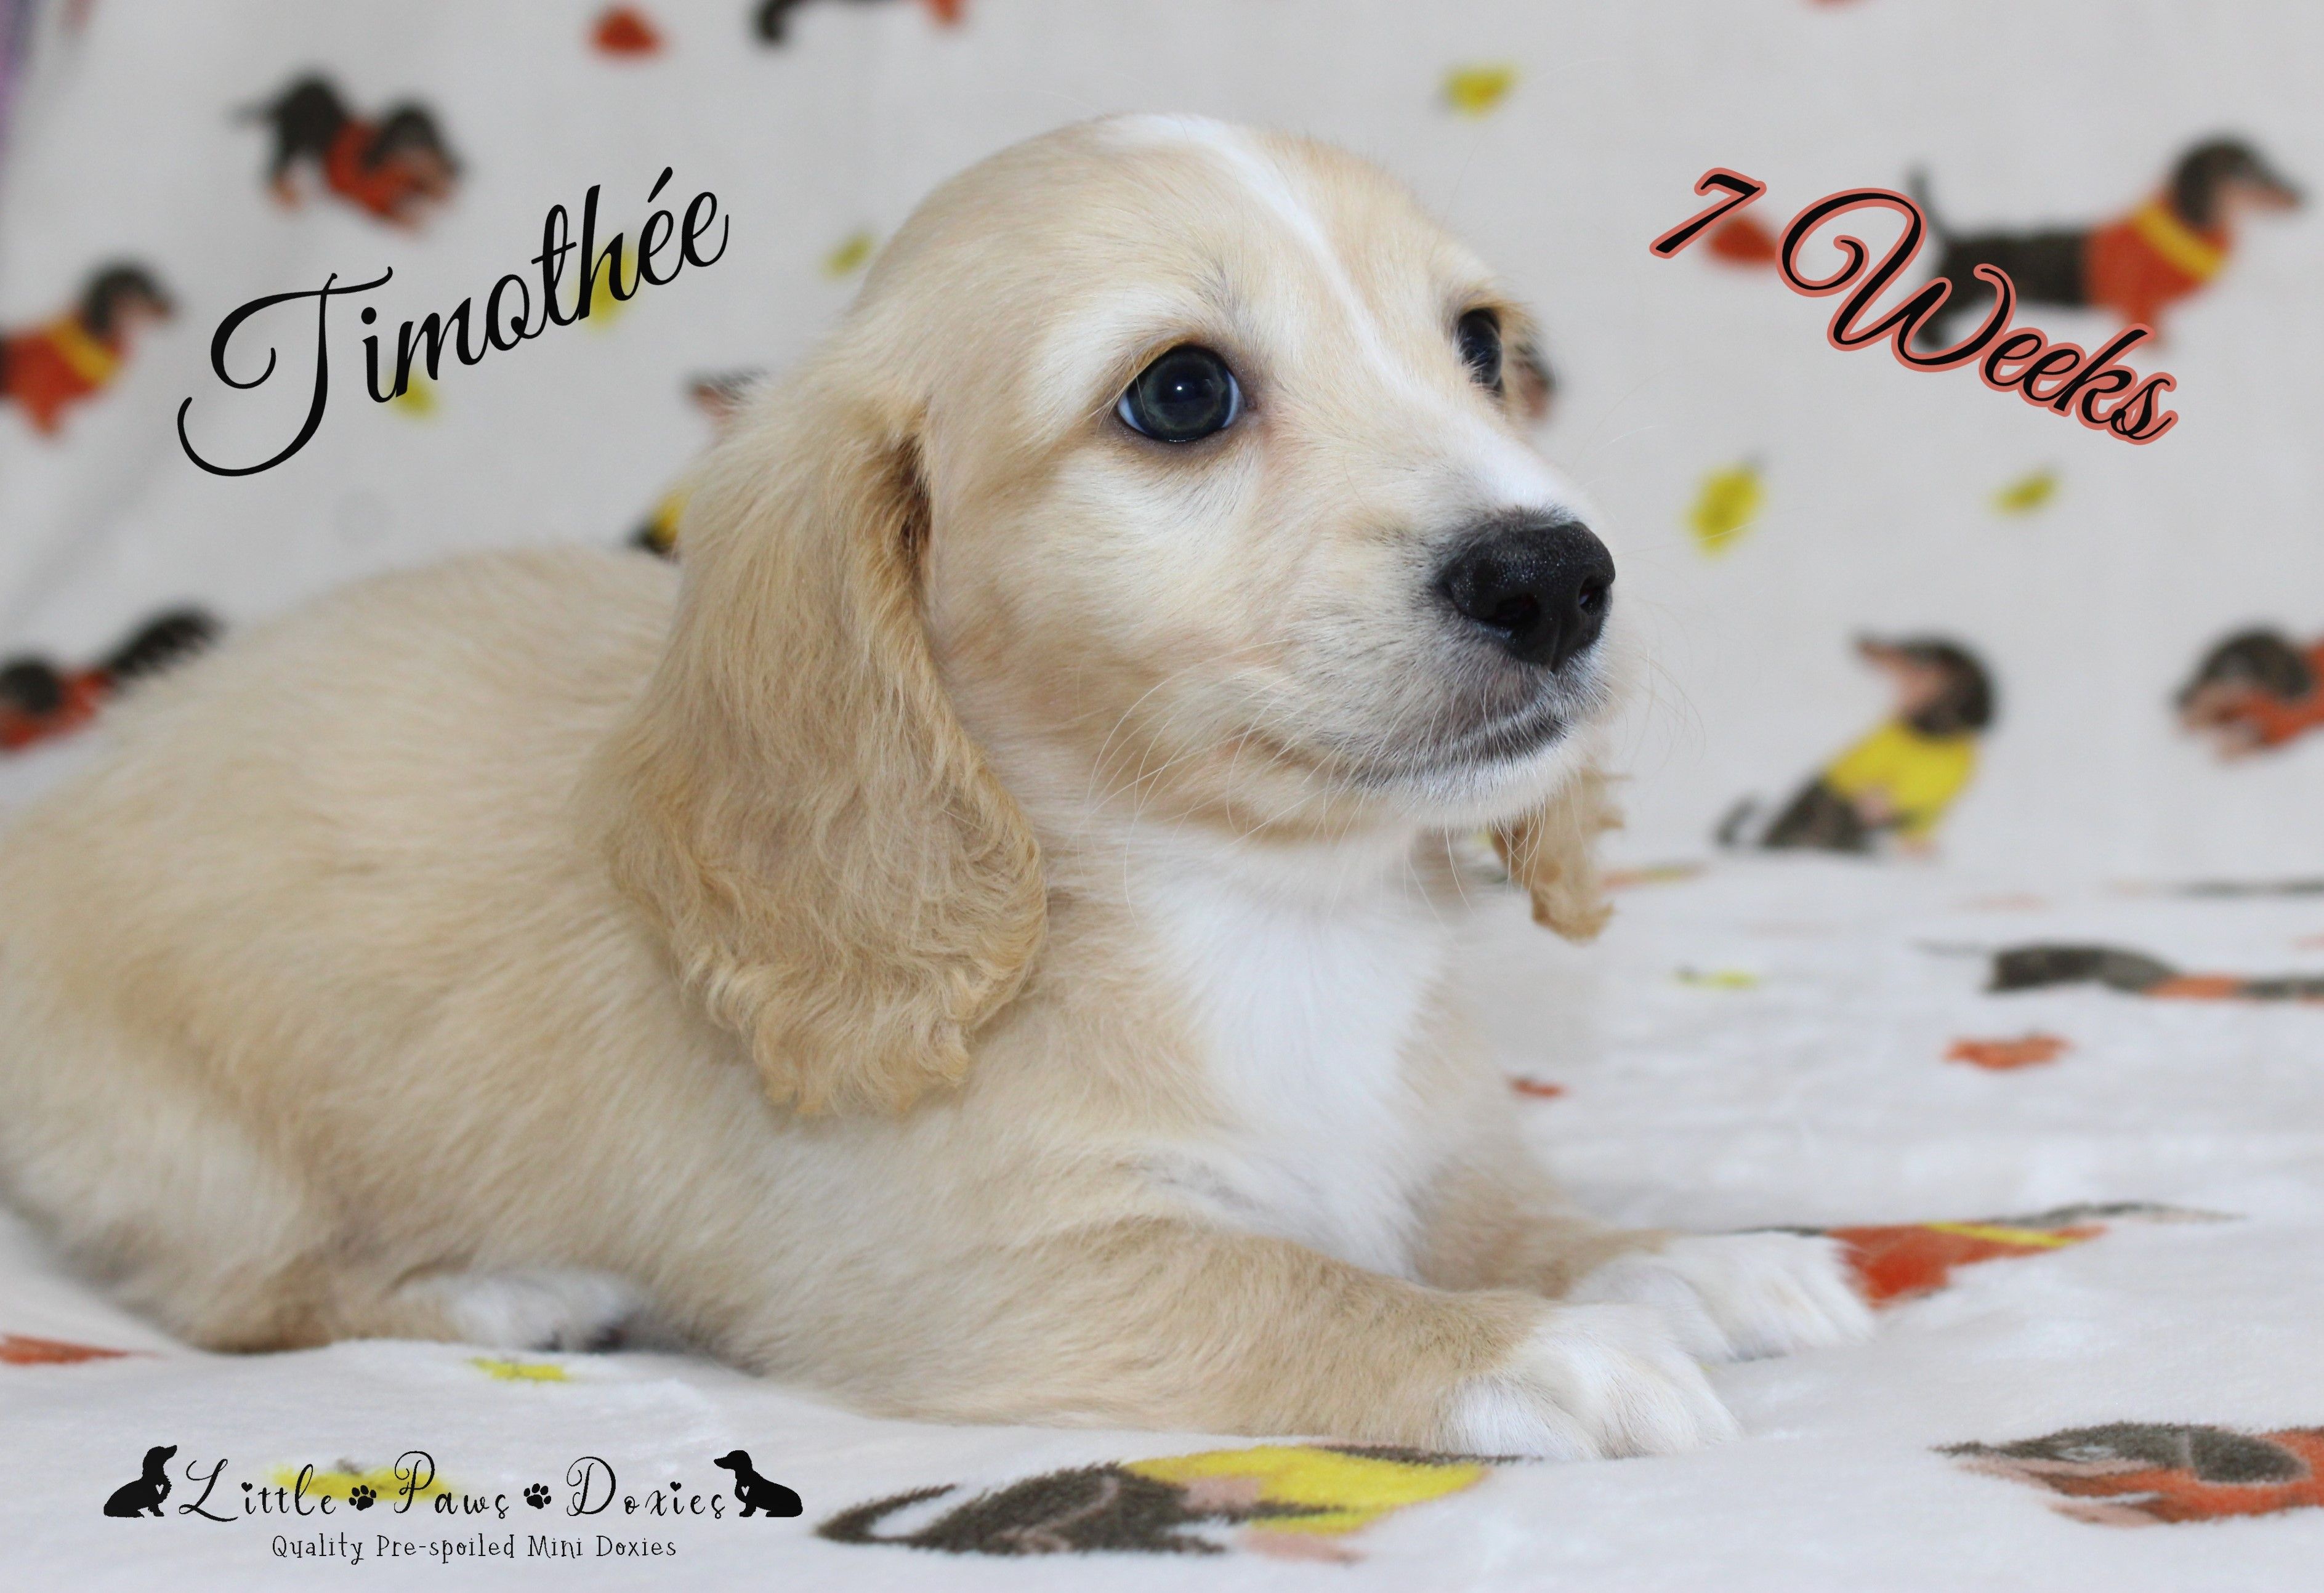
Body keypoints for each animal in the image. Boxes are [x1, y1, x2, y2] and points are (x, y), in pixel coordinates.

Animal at [244, 74, 460, 228]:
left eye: (438, 136)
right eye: (418, 139)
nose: (456, 166)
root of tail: (288, 95)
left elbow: (424, 188)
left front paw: (441, 192)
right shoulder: (373, 204)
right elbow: (395, 217)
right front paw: (415, 222)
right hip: (293, 138)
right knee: (274, 168)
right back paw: (285, 196)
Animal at [712, 1450, 803, 1517]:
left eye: (729, 1457)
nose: (715, 1460)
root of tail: (800, 1504)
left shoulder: (751, 1499)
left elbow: (749, 1507)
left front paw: (746, 1514)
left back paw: (771, 1513)